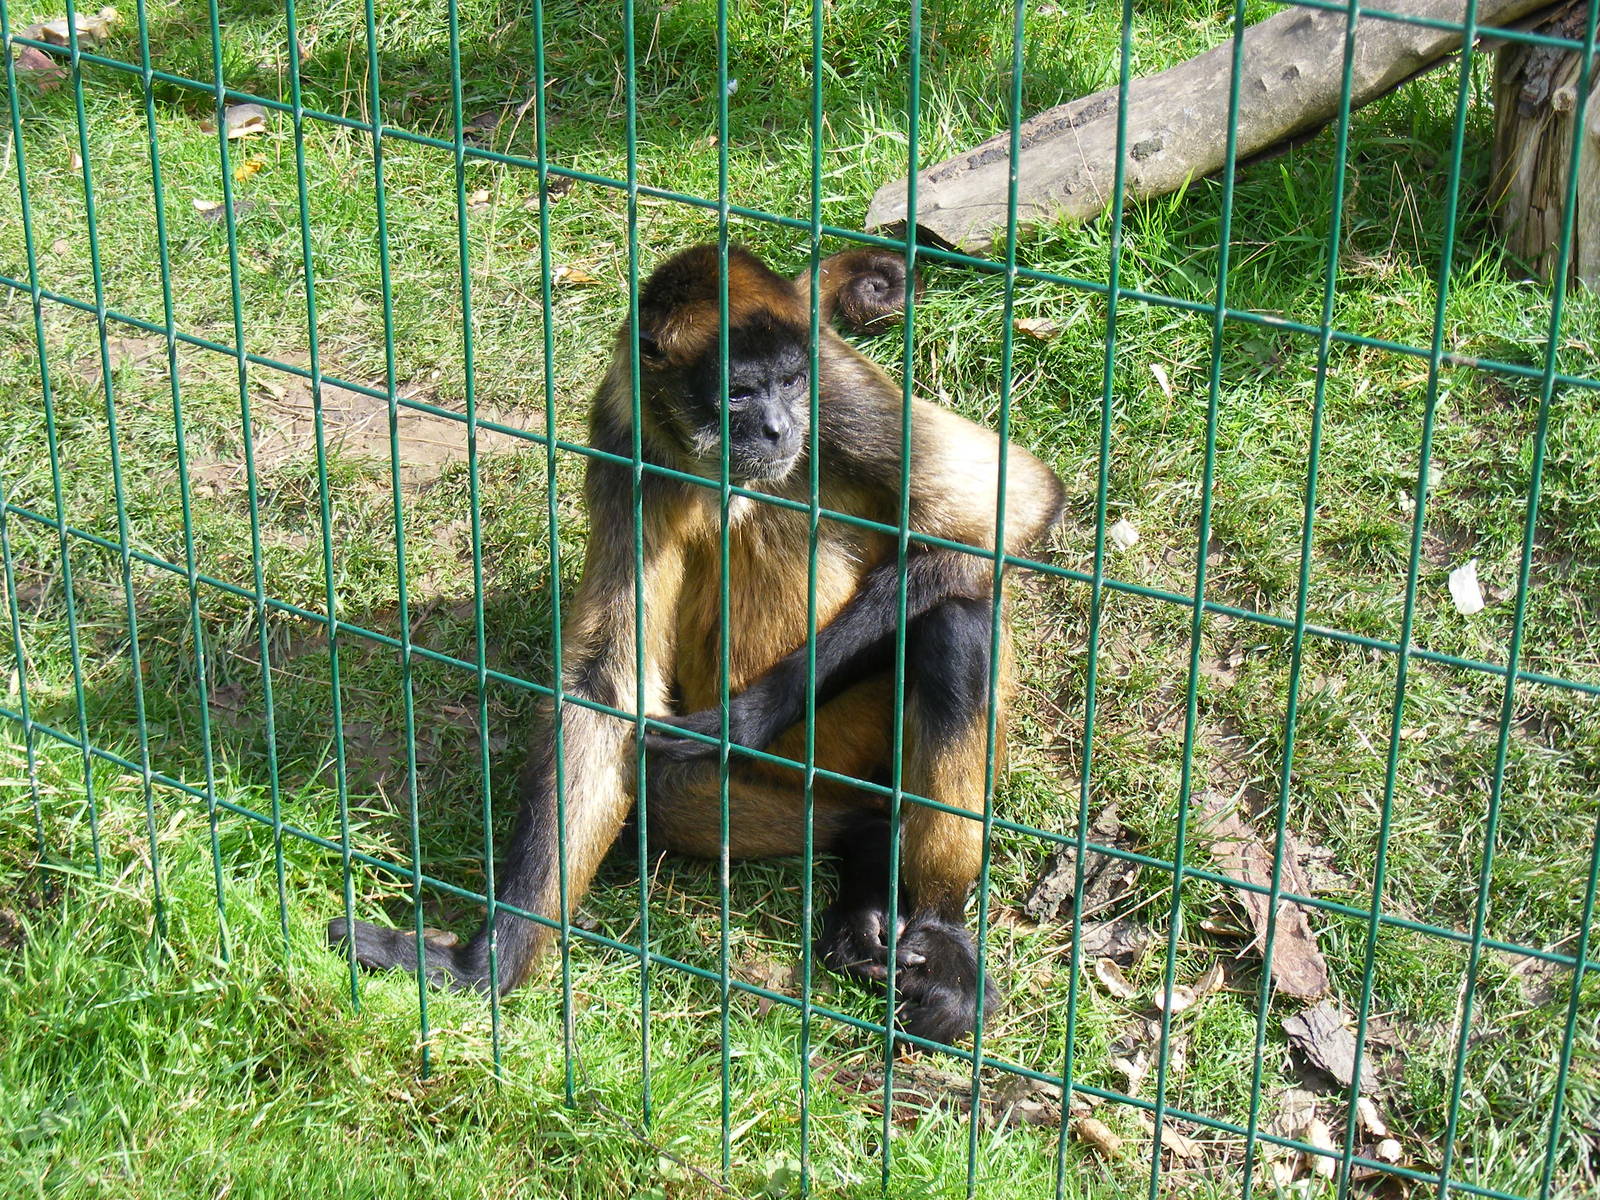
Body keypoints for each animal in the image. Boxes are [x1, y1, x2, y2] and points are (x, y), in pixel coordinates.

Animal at [329, 242, 1065, 1045]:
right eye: (738, 393)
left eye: (790, 382)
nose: (777, 429)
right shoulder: (625, 429)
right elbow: (604, 688)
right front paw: (483, 965)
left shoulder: (837, 391)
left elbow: (1016, 506)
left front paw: (738, 724)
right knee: (681, 786)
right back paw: (869, 850)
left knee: (957, 618)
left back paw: (939, 928)